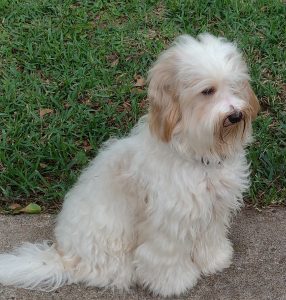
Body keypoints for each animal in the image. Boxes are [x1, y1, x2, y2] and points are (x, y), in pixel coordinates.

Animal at [0, 33, 260, 298]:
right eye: (208, 91)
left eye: (235, 85)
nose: (236, 115)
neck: (196, 152)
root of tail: (66, 257)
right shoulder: (168, 222)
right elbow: (165, 256)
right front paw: (173, 284)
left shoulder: (213, 210)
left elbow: (209, 238)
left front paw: (214, 260)